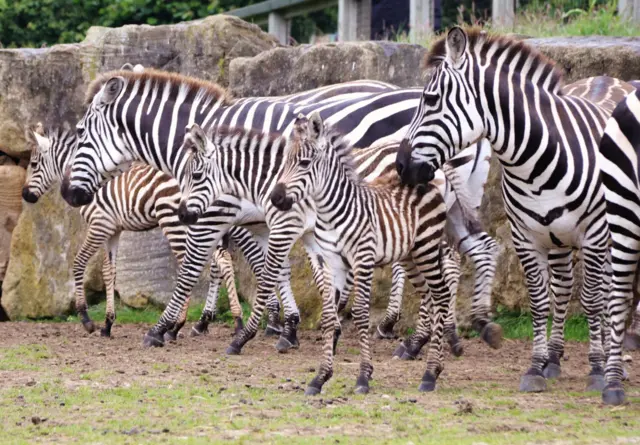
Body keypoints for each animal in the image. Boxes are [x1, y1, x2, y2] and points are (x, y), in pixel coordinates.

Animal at [21, 122, 249, 338]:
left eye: (33, 164)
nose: (25, 195)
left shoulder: (99, 224)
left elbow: (78, 263)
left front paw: (86, 319)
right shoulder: (113, 230)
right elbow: (109, 273)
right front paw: (108, 324)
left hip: (173, 221)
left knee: (199, 264)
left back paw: (180, 325)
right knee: (221, 261)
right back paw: (217, 322)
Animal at [60, 68, 502, 353]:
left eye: (80, 133)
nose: (67, 194)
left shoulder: (225, 213)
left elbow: (202, 267)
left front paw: (169, 327)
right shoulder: (257, 218)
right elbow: (267, 269)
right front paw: (284, 324)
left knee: (439, 262)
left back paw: (418, 334)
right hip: (460, 201)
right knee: (476, 252)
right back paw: (461, 330)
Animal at [395, 27, 612, 397]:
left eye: (431, 99)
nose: (400, 166)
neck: (537, 161)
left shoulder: (594, 235)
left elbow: (593, 299)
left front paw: (597, 370)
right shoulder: (526, 238)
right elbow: (540, 301)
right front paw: (537, 367)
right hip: (559, 238)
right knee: (565, 289)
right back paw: (556, 358)